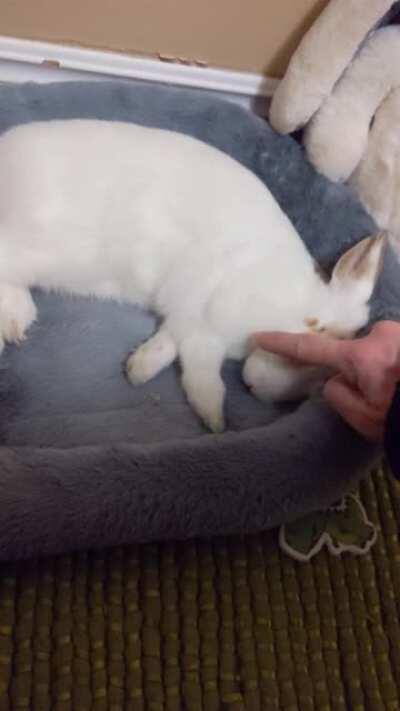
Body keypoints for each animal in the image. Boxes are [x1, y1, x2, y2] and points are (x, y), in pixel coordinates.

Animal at [0, 119, 385, 432]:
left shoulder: (189, 318)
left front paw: (137, 370)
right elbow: (201, 371)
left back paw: (18, 321)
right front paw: (215, 420)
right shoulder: (206, 316)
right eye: (316, 328)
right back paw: (14, 323)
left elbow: (169, 343)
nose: (257, 387)